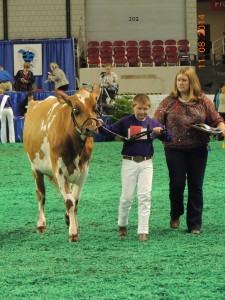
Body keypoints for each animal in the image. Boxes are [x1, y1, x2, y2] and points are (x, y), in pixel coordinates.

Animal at [23, 84, 100, 241]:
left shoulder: (84, 171)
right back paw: (41, 224)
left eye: (96, 107)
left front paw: (70, 221)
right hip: (35, 168)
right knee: (41, 195)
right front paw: (73, 233)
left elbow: (74, 199)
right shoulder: (58, 170)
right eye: (76, 110)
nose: (91, 128)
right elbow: (70, 201)